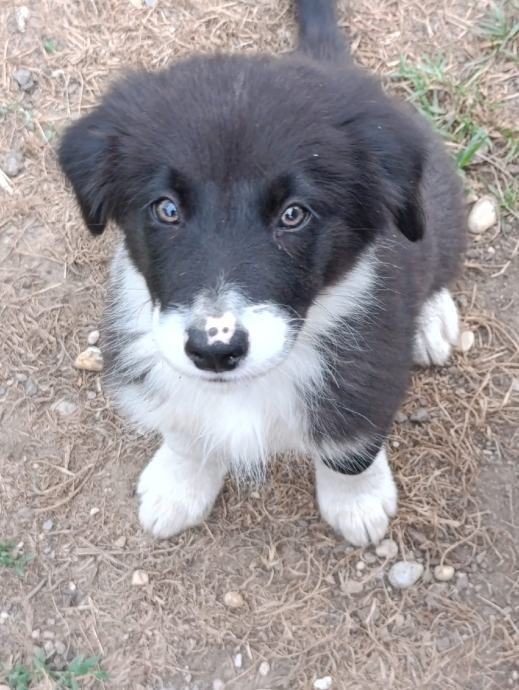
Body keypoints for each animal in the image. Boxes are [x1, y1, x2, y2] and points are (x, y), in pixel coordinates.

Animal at [59, 0, 466, 544]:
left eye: (293, 214)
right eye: (166, 209)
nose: (215, 351)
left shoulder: (371, 369)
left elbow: (351, 447)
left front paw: (356, 501)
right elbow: (186, 430)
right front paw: (179, 484)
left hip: (433, 209)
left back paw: (432, 321)